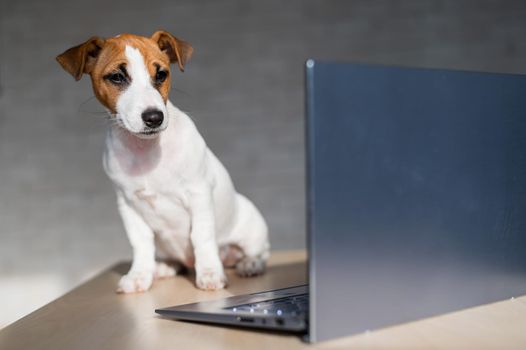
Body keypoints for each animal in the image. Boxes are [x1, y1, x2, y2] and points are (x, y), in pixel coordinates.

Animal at [57, 30, 270, 292]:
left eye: (161, 74)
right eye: (117, 77)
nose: (154, 117)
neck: (145, 151)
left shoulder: (199, 193)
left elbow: (202, 236)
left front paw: (210, 273)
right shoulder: (128, 205)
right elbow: (140, 244)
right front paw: (139, 275)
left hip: (251, 227)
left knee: (259, 252)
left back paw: (250, 264)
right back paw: (164, 267)